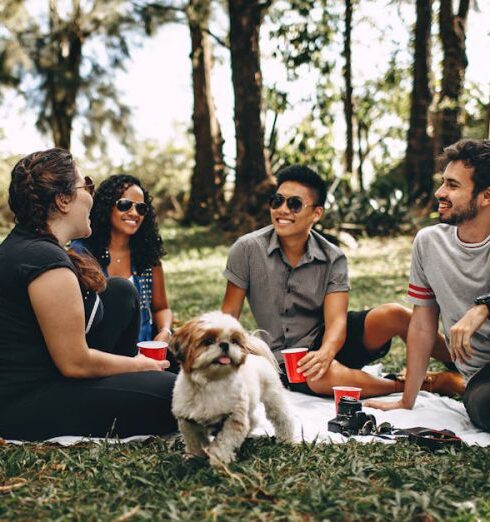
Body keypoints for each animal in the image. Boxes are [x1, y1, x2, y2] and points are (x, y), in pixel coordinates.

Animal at [170, 308, 292, 464]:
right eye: (208, 341)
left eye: (234, 341)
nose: (225, 344)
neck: (211, 382)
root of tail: (256, 355)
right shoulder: (187, 420)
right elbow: (194, 440)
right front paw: (195, 456)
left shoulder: (234, 418)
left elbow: (224, 441)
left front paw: (219, 458)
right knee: (253, 420)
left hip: (273, 398)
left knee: (283, 418)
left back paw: (286, 439)